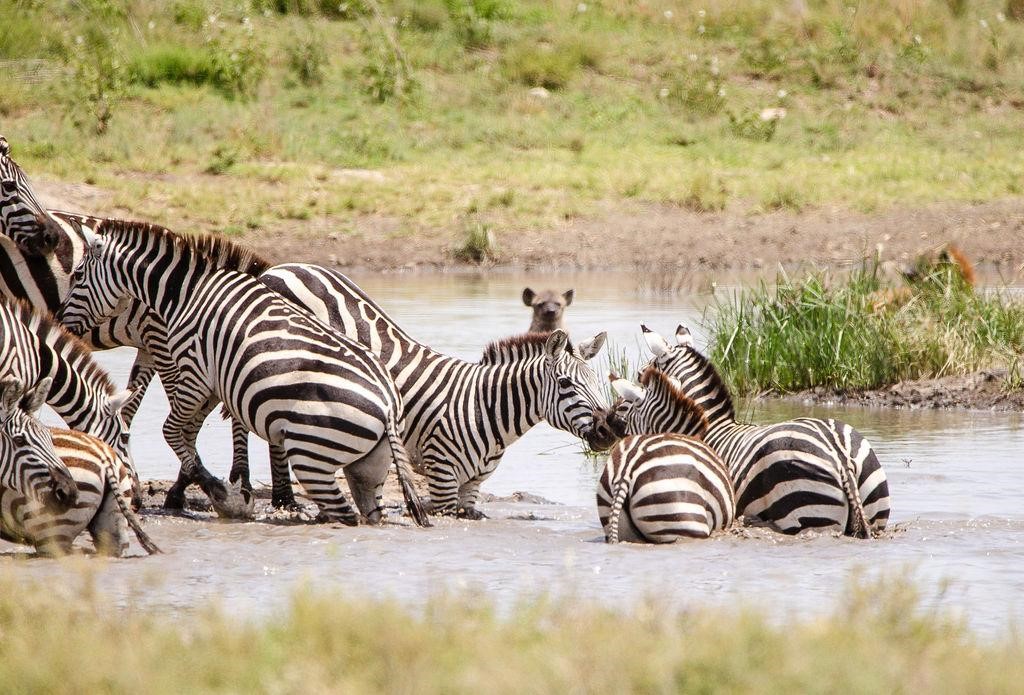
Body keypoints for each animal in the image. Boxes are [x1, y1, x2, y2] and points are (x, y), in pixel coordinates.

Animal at [57, 220, 432, 528]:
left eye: (78, 276)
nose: (59, 322)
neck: (185, 294)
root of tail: (388, 404)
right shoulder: (209, 380)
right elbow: (191, 431)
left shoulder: (195, 370)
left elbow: (173, 431)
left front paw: (221, 493)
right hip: (368, 468)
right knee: (368, 513)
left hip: (313, 456)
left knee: (345, 514)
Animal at [238, 264, 610, 519]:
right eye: (565, 384)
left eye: (597, 382)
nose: (612, 429)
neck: (486, 408)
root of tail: (283, 268)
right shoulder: (442, 476)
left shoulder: (471, 488)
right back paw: (272, 495)